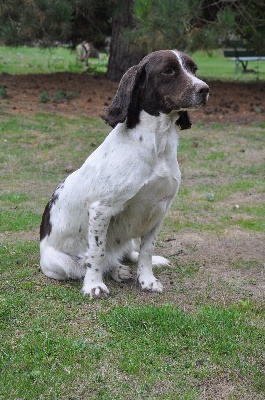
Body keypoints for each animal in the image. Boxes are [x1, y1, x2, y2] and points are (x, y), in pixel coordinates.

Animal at [39, 49, 208, 296]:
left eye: (194, 69)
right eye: (168, 71)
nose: (204, 89)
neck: (154, 145)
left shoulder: (160, 209)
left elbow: (147, 250)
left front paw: (147, 280)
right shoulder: (101, 210)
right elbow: (96, 254)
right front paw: (94, 285)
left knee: (129, 253)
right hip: (58, 264)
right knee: (91, 263)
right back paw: (114, 270)